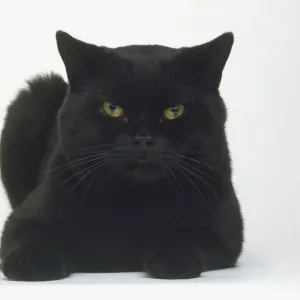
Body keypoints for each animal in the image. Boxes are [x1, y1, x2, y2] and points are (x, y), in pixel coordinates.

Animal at [0, 31, 244, 280]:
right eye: (112, 108)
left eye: (174, 110)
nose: (143, 139)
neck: (134, 200)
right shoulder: (23, 219)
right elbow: (28, 236)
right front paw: (32, 261)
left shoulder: (226, 232)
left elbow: (189, 237)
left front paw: (174, 258)